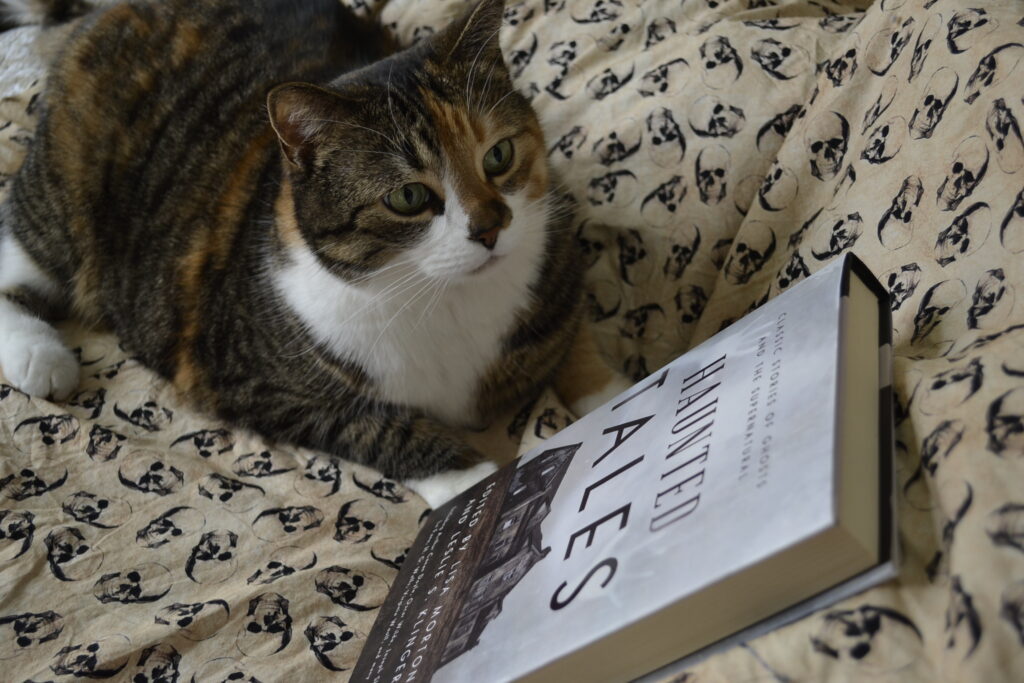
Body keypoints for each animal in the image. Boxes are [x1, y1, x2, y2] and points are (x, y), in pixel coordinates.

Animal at [0, 1, 622, 507]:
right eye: (408, 197)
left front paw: (618, 399)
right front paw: (472, 483)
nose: (493, 227)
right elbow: (375, 427)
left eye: (498, 156)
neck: (442, 296)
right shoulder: (252, 382)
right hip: (64, 192)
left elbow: (574, 345)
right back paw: (40, 356)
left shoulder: (557, 269)